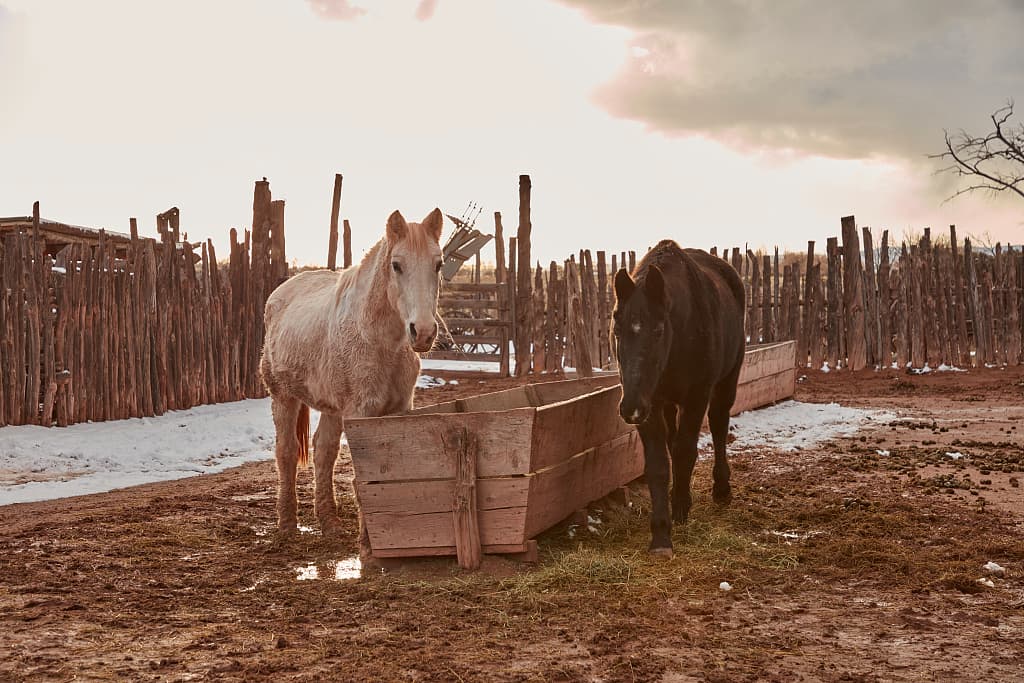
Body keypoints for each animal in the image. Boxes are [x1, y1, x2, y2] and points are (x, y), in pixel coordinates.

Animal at [260, 208, 444, 544]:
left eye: (438, 264)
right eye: (396, 265)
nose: (423, 332)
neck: (380, 342)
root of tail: (281, 292)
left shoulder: (399, 410)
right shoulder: (360, 412)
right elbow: (363, 479)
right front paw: (368, 545)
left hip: (333, 409)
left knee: (324, 452)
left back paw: (330, 524)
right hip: (283, 398)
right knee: (286, 453)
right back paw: (288, 525)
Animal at [611, 239, 745, 558]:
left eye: (658, 330)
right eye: (617, 330)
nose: (629, 408)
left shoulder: (696, 396)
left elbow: (686, 451)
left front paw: (682, 509)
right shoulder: (651, 404)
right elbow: (659, 464)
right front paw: (661, 533)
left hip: (727, 380)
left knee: (719, 426)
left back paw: (721, 488)